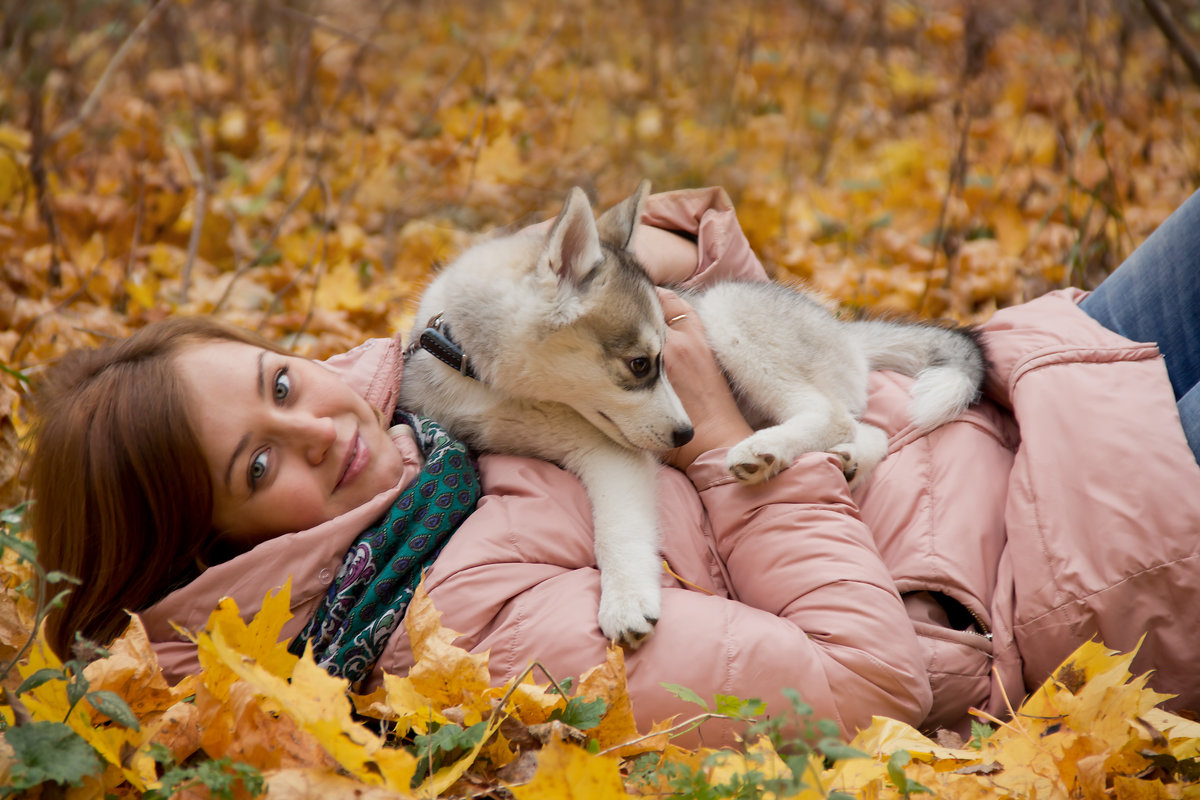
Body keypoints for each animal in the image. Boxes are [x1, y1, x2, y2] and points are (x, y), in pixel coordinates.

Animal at [403, 183, 984, 652]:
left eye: (661, 359)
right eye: (639, 364)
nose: (687, 433)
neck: (486, 380)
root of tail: (843, 331)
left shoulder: (612, 454)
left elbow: (619, 531)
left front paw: (625, 600)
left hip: (730, 317)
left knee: (829, 411)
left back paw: (764, 450)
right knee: (866, 426)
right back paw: (848, 461)